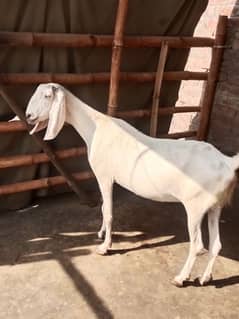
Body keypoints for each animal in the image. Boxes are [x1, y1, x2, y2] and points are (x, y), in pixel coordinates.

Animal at [19, 82, 239, 288]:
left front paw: (105, 247)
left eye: (47, 96)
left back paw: (180, 278)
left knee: (198, 245)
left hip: (195, 207)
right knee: (216, 244)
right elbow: (103, 207)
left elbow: (108, 211)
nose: (28, 116)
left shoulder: (105, 176)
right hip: (215, 206)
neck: (96, 126)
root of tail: (227, 162)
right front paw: (100, 234)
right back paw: (205, 277)